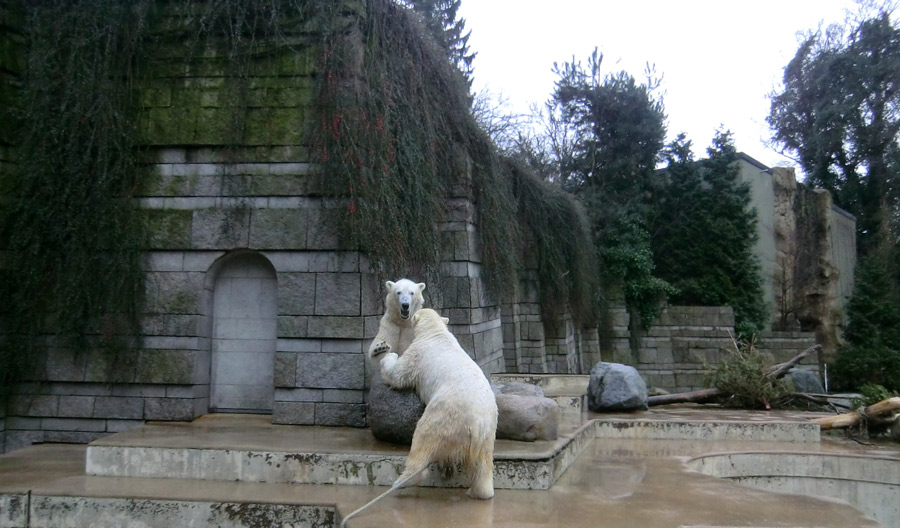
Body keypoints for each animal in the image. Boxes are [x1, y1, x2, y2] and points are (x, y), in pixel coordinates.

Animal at [376, 308, 496, 498]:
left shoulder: (417, 354)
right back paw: (478, 491)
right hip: (488, 435)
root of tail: (478, 424)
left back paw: (402, 481)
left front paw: (390, 356)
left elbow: (399, 375)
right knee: (482, 465)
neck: (435, 332)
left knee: (422, 439)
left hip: (444, 415)